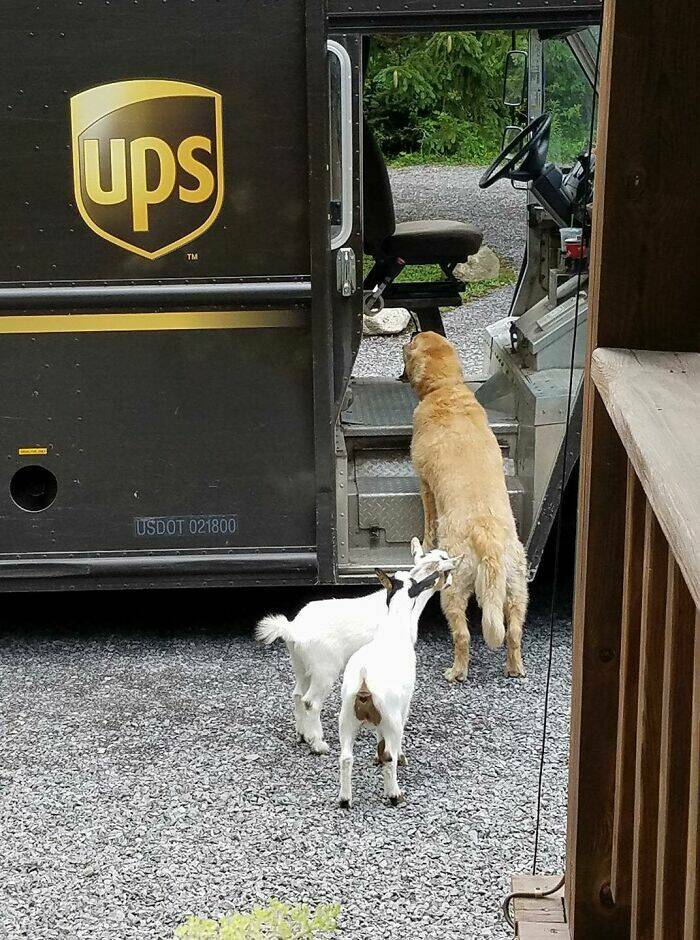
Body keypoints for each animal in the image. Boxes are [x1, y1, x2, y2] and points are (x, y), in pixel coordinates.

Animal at [256, 540, 448, 752]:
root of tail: (293, 629)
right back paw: (318, 743)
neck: (398, 612)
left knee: (298, 695)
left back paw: (303, 734)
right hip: (324, 669)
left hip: (300, 664)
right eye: (445, 566)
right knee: (311, 702)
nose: (450, 582)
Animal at [340, 560, 460, 808]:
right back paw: (395, 794)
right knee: (390, 756)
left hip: (346, 717)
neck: (394, 628)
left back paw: (345, 799)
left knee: (346, 757)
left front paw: (375, 756)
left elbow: (379, 740)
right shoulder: (403, 705)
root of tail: (365, 681)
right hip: (390, 716)